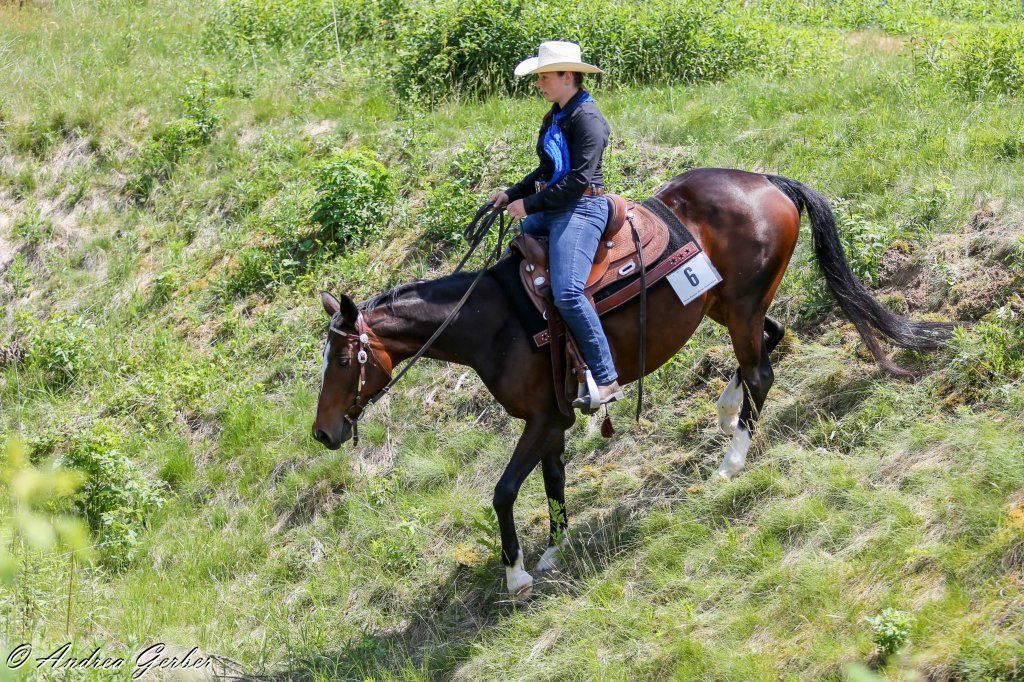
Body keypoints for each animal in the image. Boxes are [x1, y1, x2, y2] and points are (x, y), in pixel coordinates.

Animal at [312, 168, 954, 596]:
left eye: (342, 361)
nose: (322, 433)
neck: (493, 320)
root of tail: (764, 181)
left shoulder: (542, 419)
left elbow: (504, 490)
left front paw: (515, 573)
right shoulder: (552, 421)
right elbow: (553, 483)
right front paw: (556, 549)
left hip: (741, 306)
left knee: (762, 370)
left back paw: (731, 461)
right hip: (727, 305)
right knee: (773, 339)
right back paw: (726, 408)